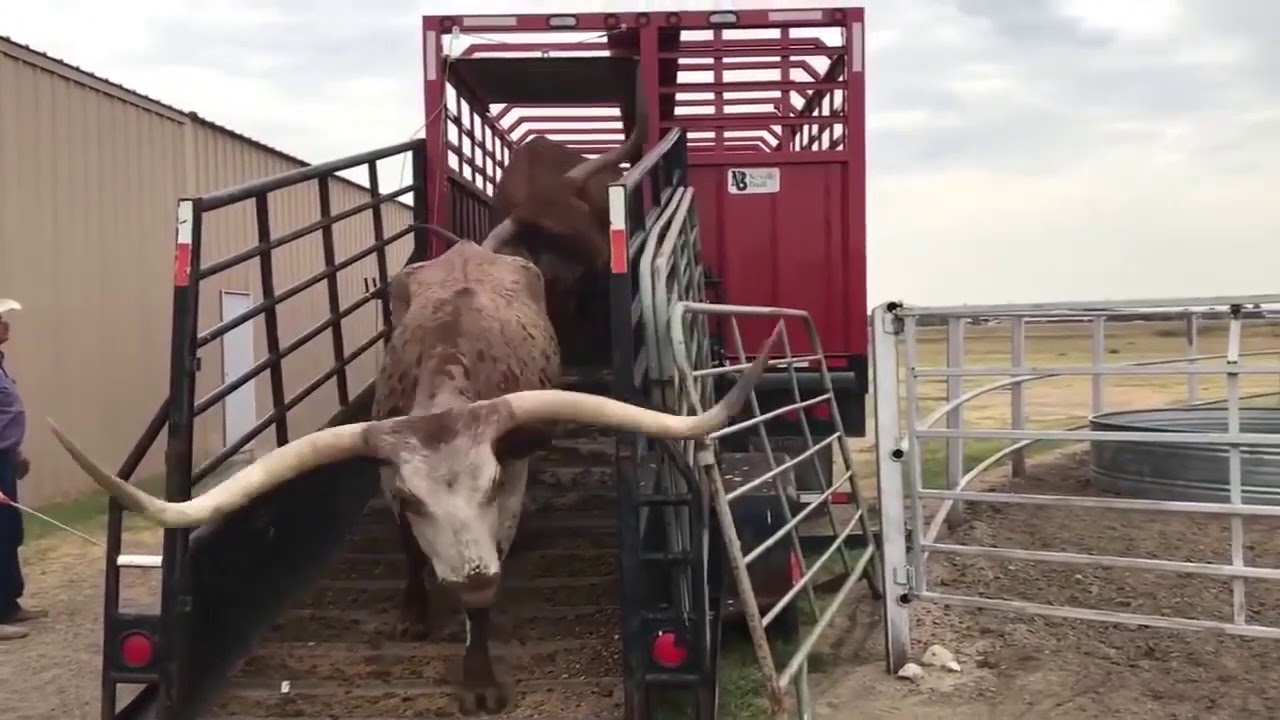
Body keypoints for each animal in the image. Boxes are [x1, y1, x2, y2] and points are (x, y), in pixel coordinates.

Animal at [46, 232, 780, 715]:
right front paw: (413, 611)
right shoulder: (387, 482)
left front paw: (479, 676)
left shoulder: (511, 482)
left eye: (490, 485)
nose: (478, 579)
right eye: (412, 497)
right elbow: (405, 548)